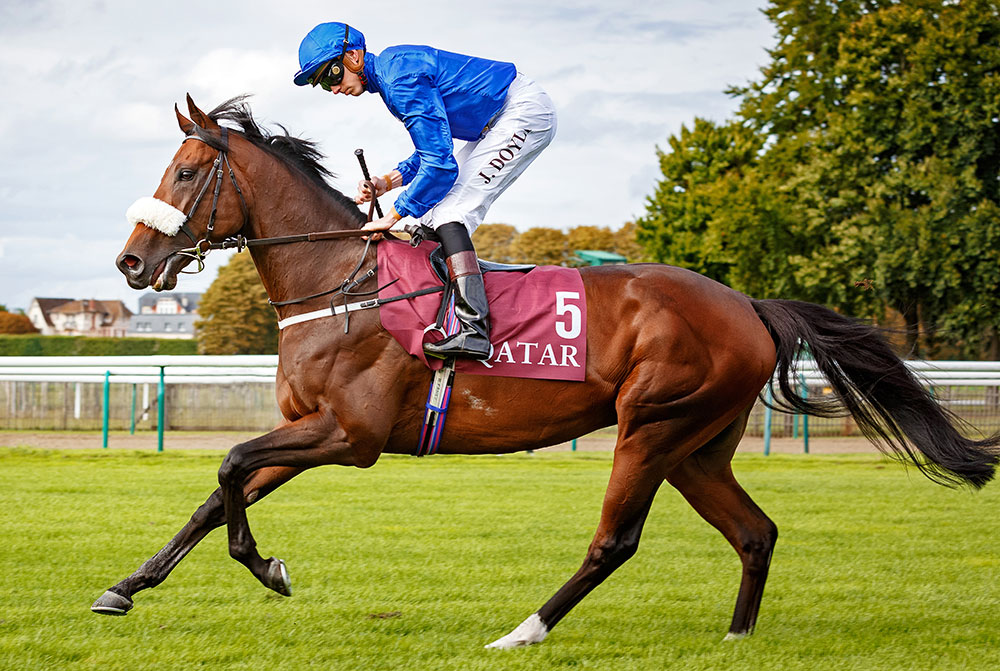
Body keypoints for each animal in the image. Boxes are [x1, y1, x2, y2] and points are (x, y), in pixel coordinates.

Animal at [95, 97, 1000, 648]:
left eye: (185, 171)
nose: (132, 262)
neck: (340, 284)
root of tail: (747, 303)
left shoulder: (350, 435)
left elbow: (228, 467)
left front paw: (269, 568)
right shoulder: (310, 427)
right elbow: (219, 493)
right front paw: (127, 585)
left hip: (653, 425)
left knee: (615, 540)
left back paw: (523, 630)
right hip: (697, 446)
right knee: (755, 531)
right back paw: (737, 636)